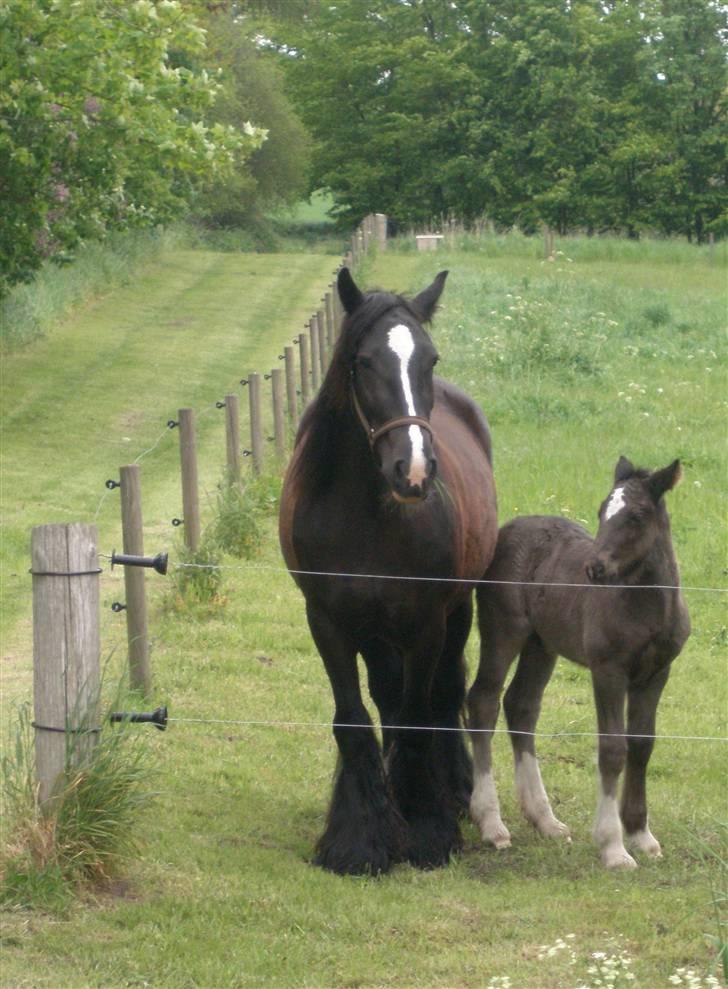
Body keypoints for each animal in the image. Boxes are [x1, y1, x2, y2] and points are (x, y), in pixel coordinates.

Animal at [282, 268, 498, 872]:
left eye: (430, 358)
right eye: (363, 361)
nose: (415, 470)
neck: (367, 516)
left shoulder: (426, 623)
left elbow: (419, 716)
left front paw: (426, 831)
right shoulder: (328, 622)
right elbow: (355, 722)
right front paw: (358, 839)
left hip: (456, 611)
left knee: (442, 696)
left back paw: (453, 789)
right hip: (375, 631)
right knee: (387, 697)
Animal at [470, 456, 692, 864]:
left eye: (636, 516)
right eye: (603, 511)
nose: (595, 568)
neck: (646, 607)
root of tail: (506, 529)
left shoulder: (656, 674)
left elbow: (642, 745)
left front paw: (640, 834)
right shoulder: (608, 670)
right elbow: (613, 748)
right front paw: (613, 846)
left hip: (541, 644)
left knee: (521, 706)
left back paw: (545, 820)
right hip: (503, 630)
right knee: (483, 702)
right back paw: (492, 825)